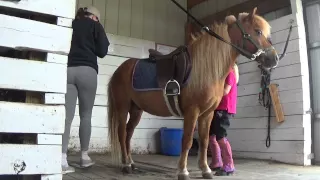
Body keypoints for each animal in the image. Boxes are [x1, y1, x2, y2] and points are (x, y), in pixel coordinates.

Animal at [106, 8, 278, 180]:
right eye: (258, 31)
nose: (274, 58)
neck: (205, 69)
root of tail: (119, 70)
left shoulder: (207, 113)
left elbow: (204, 140)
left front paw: (206, 169)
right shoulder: (192, 111)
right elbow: (187, 140)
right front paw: (183, 171)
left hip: (136, 110)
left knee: (128, 133)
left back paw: (131, 162)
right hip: (123, 108)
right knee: (121, 133)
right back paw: (126, 165)